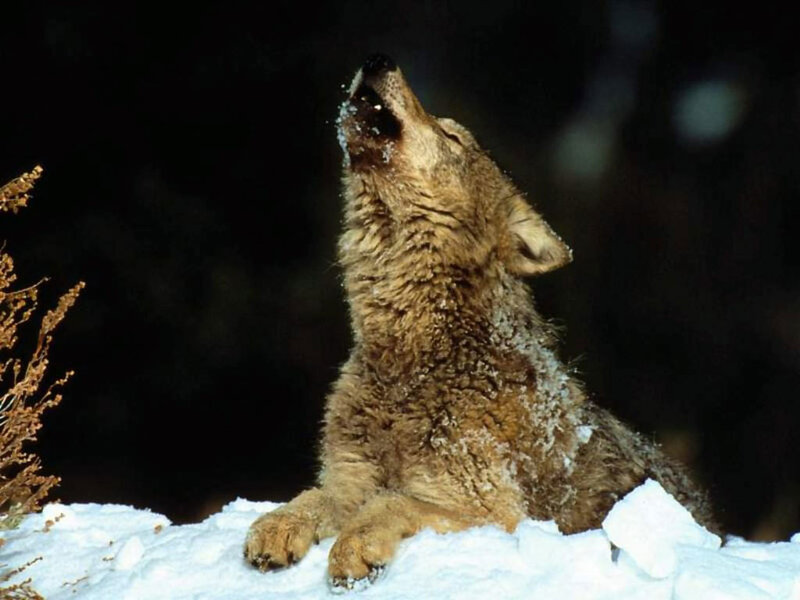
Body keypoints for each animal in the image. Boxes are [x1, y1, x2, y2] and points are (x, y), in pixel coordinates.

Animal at [245, 54, 716, 587]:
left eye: (452, 136)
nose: (378, 60)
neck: (412, 361)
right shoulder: (349, 479)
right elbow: (314, 496)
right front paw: (277, 526)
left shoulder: (492, 512)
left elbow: (391, 501)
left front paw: (353, 549)